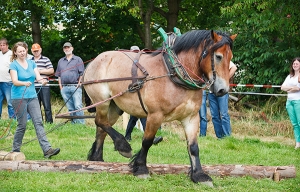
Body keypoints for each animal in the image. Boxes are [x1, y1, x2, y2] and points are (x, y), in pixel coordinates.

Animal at [82, 30, 237, 186]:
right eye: (218, 56)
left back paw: (97, 159)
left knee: (102, 128)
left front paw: (199, 175)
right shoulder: (155, 115)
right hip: (101, 101)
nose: (223, 90)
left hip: (114, 107)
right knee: (100, 122)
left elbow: (193, 147)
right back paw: (123, 146)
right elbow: (147, 141)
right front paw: (141, 168)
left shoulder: (191, 117)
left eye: (231, 57)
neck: (173, 74)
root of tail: (94, 61)